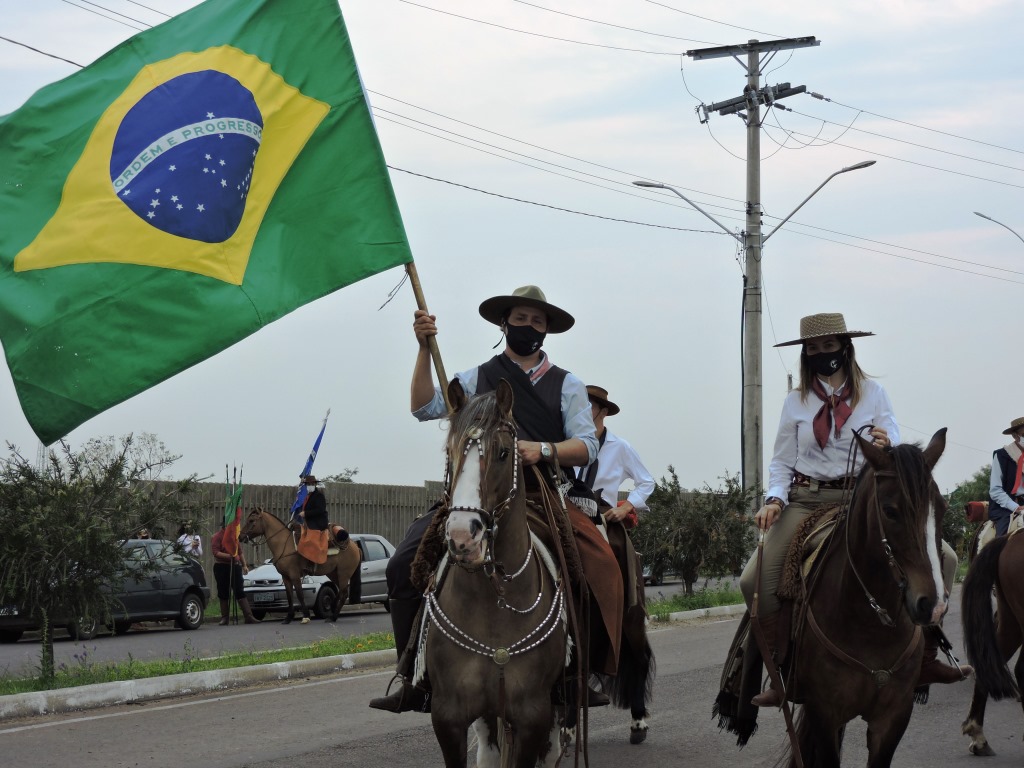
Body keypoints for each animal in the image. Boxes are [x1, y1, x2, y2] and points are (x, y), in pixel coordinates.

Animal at [421, 382, 569, 768]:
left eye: (503, 452)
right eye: (450, 451)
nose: (463, 536)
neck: (493, 603)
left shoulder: (533, 714)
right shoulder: (448, 715)